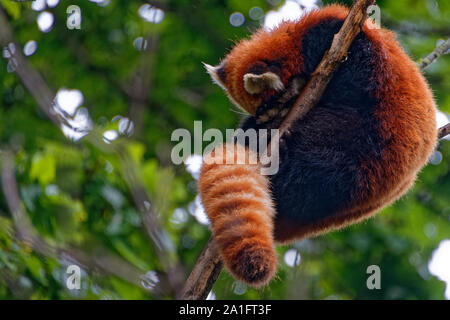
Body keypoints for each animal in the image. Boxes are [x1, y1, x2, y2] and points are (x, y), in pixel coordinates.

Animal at [198, 4, 436, 284]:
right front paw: (255, 125)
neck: (297, 36)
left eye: (273, 104)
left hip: (363, 145)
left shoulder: (347, 43)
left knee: (319, 162)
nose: (267, 118)